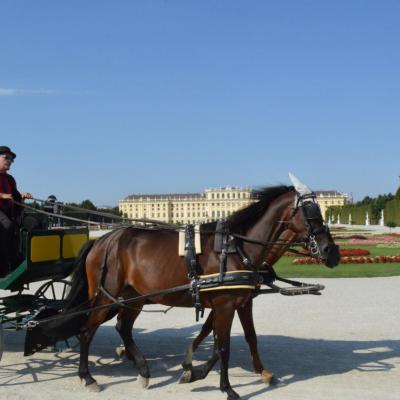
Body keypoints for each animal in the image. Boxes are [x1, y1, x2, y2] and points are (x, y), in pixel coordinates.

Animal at [29, 185, 340, 400]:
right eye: (311, 214)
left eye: (323, 210)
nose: (332, 252)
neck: (237, 248)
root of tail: (102, 239)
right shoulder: (225, 304)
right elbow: (222, 346)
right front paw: (226, 388)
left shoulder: (240, 302)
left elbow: (245, 338)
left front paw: (204, 371)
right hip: (106, 298)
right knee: (86, 330)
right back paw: (88, 378)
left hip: (131, 299)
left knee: (122, 328)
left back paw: (142, 371)